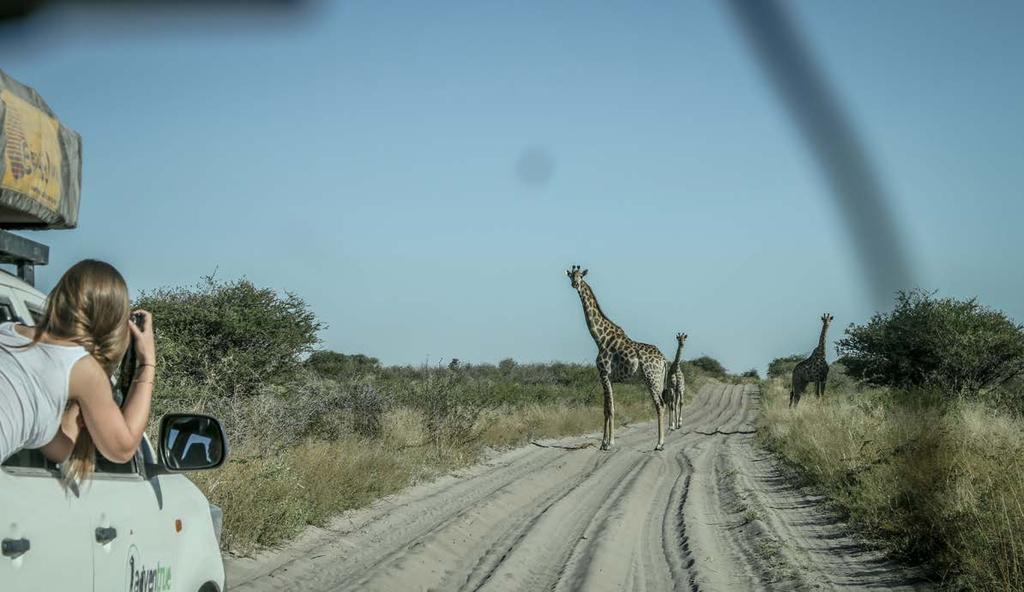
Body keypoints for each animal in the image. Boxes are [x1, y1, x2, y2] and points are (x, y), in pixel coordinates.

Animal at [565, 264, 667, 448]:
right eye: (571, 276)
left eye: (581, 276)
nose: (575, 284)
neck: (600, 339)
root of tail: (663, 359)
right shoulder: (607, 377)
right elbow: (606, 409)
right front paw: (603, 443)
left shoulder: (604, 374)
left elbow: (610, 409)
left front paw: (609, 442)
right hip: (658, 379)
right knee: (662, 403)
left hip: (651, 378)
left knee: (660, 404)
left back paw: (659, 444)